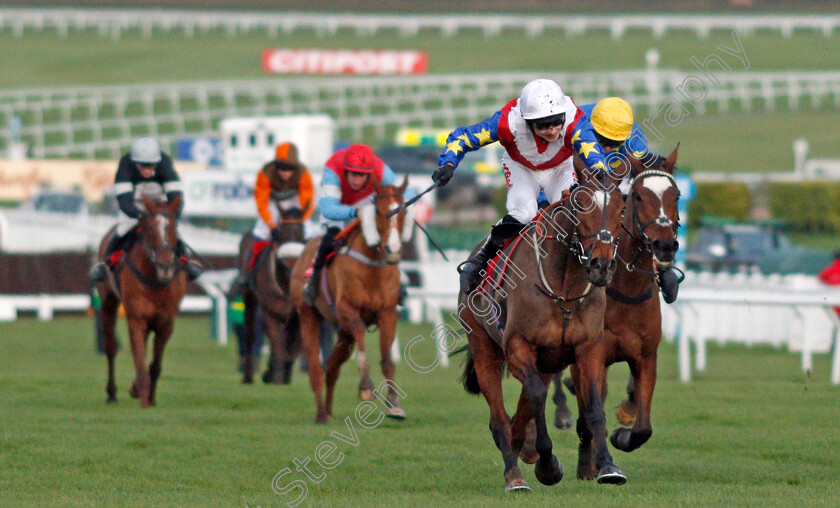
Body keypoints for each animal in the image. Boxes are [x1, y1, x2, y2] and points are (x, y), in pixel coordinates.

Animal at [96, 195, 187, 408]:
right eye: (151, 229)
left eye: (174, 228)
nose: (165, 266)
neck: (155, 279)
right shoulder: (136, 318)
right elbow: (139, 360)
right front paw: (144, 397)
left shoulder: (166, 322)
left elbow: (154, 364)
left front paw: (149, 397)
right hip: (108, 302)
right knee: (111, 346)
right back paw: (111, 393)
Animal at [231, 204, 306, 382]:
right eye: (283, 231)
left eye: (302, 231)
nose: (291, 263)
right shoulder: (269, 308)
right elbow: (277, 341)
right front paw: (276, 376)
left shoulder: (297, 313)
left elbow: (293, 344)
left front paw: (281, 373)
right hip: (249, 296)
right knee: (250, 332)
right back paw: (249, 375)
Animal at [288, 177, 414, 422]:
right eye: (379, 211)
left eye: (404, 211)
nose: (394, 249)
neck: (371, 266)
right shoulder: (347, 309)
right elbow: (362, 339)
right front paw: (366, 387)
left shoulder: (388, 313)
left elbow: (387, 360)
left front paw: (394, 404)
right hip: (308, 314)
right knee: (315, 368)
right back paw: (321, 414)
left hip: (343, 333)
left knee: (332, 367)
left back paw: (328, 410)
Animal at [456, 171, 628, 492]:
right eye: (581, 207)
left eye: (621, 209)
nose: (601, 265)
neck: (564, 288)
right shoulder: (517, 347)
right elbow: (536, 394)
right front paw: (547, 464)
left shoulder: (588, 348)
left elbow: (594, 406)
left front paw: (608, 466)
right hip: (483, 347)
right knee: (499, 418)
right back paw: (514, 476)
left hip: (548, 361)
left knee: (520, 414)